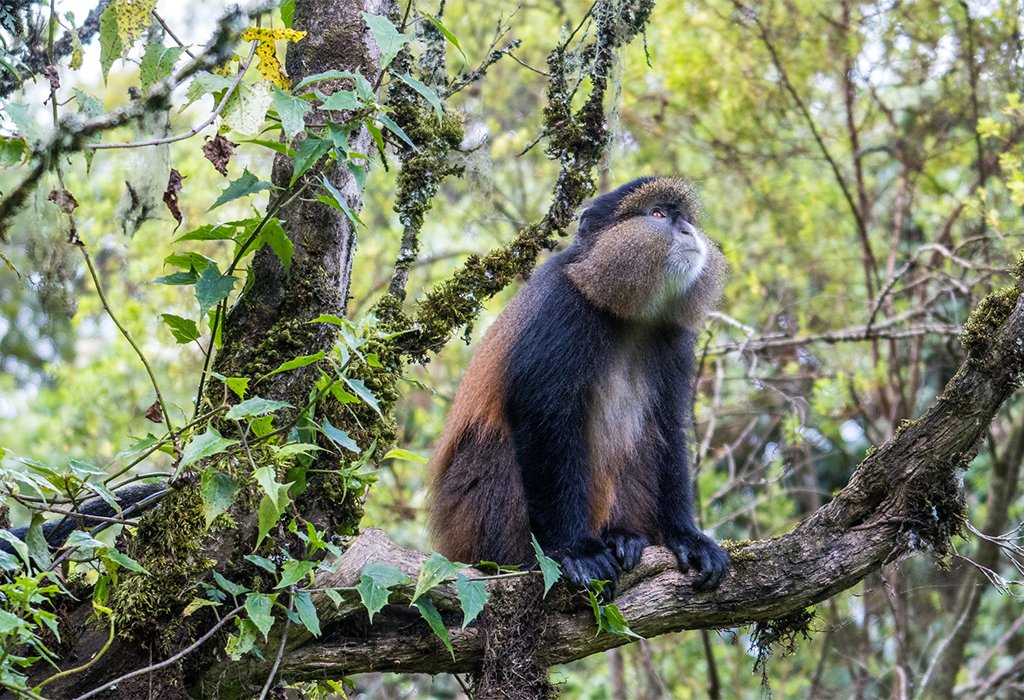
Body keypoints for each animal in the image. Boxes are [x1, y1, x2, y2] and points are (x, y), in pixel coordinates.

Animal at [428, 176, 729, 592]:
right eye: (658, 214)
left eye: (683, 217)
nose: (687, 231)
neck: (627, 316)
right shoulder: (562, 308)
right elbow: (542, 416)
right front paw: (576, 551)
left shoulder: (675, 339)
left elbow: (667, 427)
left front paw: (685, 535)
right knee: (495, 447)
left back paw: (622, 536)